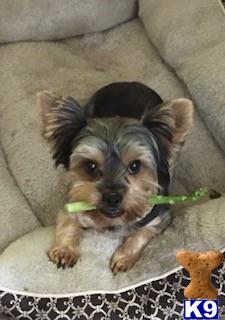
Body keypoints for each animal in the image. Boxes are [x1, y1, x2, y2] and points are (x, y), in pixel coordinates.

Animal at [37, 82, 192, 272]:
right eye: (90, 166)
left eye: (135, 165)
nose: (112, 198)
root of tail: (129, 82)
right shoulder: (74, 200)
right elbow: (68, 222)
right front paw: (64, 251)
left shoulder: (158, 218)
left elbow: (140, 235)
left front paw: (124, 258)